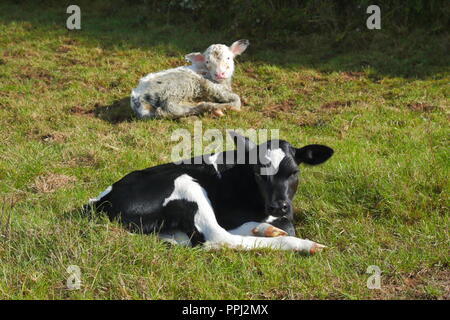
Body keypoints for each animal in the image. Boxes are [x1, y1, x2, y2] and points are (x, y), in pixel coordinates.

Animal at [87, 131, 334, 254]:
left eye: (294, 172)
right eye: (258, 173)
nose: (278, 205)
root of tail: (99, 201)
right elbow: (288, 226)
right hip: (186, 183)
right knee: (219, 237)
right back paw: (303, 244)